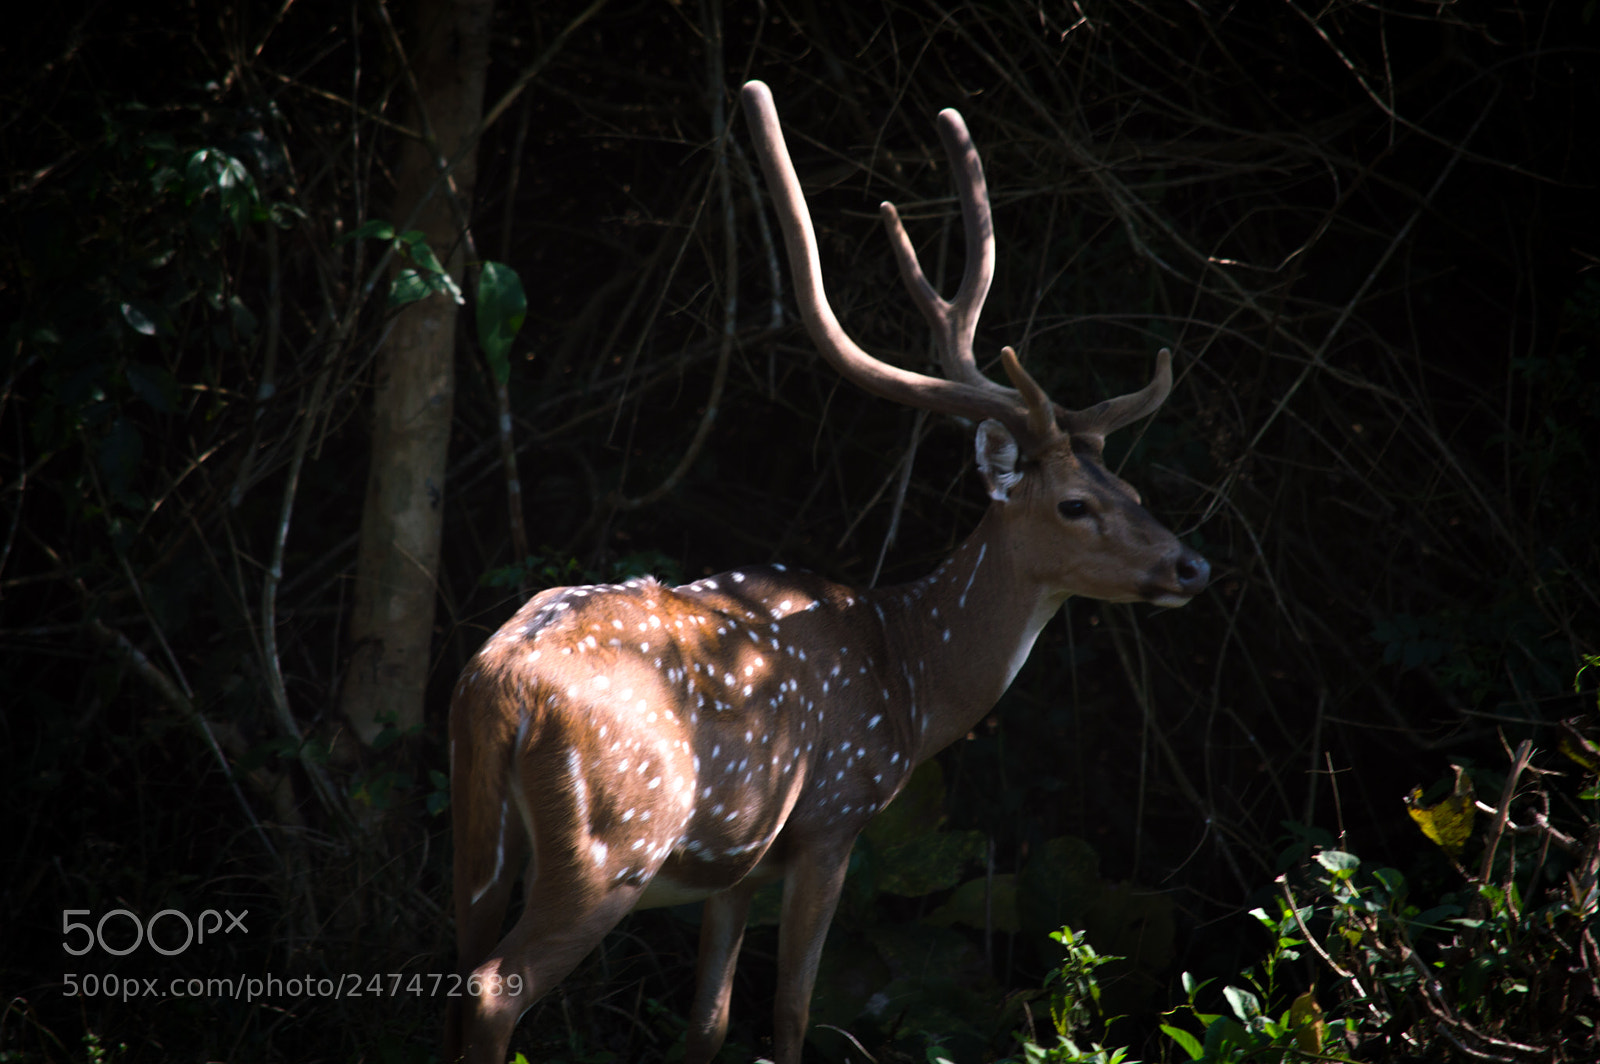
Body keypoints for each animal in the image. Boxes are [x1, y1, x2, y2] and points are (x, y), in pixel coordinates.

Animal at [445, 80, 1209, 1064]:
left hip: (477, 837)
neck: (913, 677)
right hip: (613, 843)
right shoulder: (833, 819)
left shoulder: (737, 862)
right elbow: (792, 1012)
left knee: (455, 968)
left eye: (1134, 487)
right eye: (1076, 504)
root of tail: (499, 683)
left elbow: (708, 1024)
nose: (1192, 565)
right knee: (493, 987)